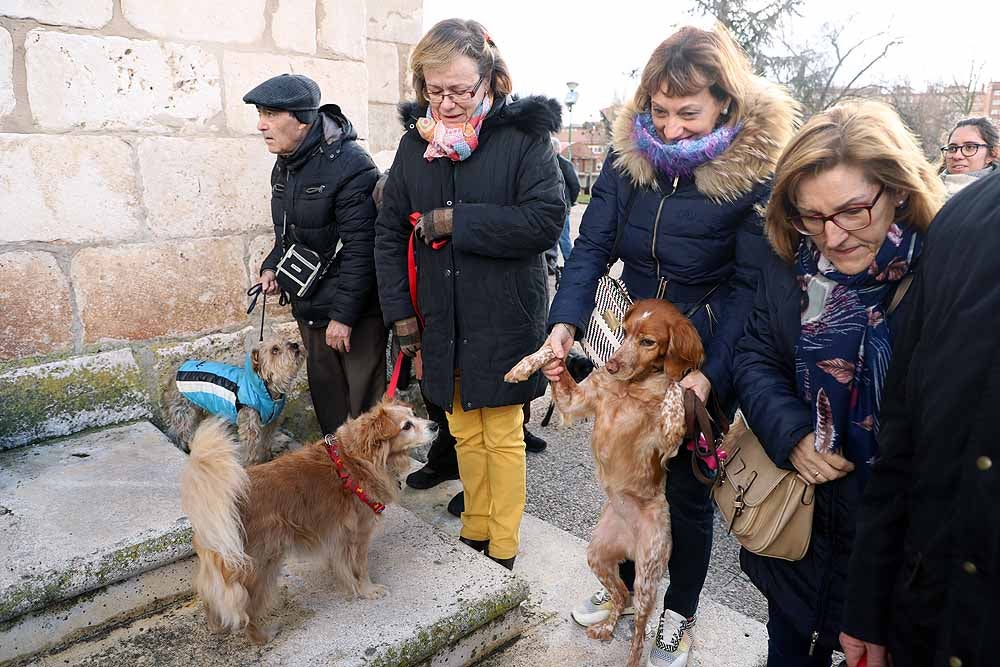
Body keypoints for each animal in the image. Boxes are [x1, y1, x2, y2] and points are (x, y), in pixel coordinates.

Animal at [164, 340, 302, 464]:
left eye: (286, 340)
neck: (267, 391)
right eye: (275, 350)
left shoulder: (270, 423)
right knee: (179, 431)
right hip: (183, 410)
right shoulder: (250, 423)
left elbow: (265, 443)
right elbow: (250, 448)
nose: (295, 345)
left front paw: (265, 459)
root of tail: (175, 370)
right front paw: (252, 464)